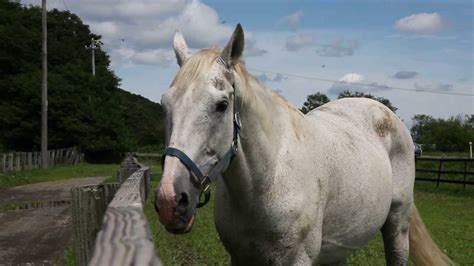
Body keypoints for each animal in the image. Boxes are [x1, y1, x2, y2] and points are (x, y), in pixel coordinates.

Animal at [155, 23, 452, 264]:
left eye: (222, 105)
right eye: (165, 105)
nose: (170, 201)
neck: (268, 178)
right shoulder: (240, 258)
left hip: (397, 226)